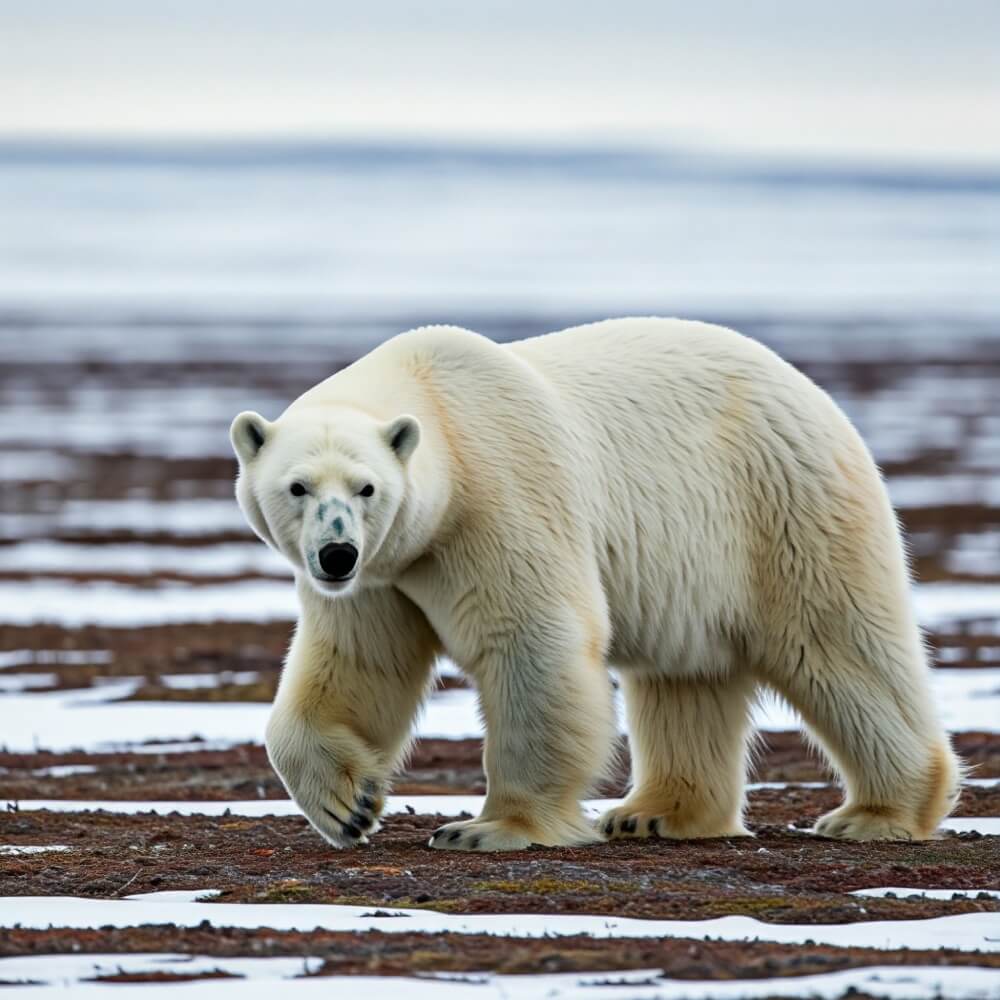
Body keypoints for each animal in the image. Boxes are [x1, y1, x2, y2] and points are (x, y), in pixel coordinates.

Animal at [230, 317, 961, 851]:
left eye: (366, 487)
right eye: (297, 487)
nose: (336, 553)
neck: (440, 407)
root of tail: (812, 393)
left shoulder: (499, 497)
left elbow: (532, 641)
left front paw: (490, 827)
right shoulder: (388, 571)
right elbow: (359, 664)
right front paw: (348, 805)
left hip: (782, 508)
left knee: (836, 647)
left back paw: (876, 814)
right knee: (687, 680)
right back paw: (655, 813)